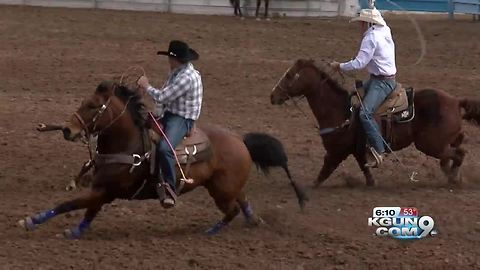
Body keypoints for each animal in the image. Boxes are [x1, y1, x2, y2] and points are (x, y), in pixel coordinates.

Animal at [19, 80, 308, 238]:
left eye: (92, 106)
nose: (68, 130)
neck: (129, 144)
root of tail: (242, 143)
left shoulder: (105, 190)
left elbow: (69, 204)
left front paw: (31, 220)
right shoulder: (102, 190)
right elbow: (88, 211)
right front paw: (74, 231)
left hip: (221, 191)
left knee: (232, 209)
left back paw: (209, 232)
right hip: (225, 187)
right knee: (243, 200)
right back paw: (253, 221)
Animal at [270, 58, 480, 186]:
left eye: (289, 75)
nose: (273, 95)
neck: (340, 111)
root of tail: (455, 101)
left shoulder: (335, 153)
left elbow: (323, 174)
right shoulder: (356, 151)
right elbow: (365, 169)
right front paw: (372, 183)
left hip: (430, 144)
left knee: (458, 153)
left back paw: (454, 177)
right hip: (441, 141)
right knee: (457, 146)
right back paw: (451, 173)